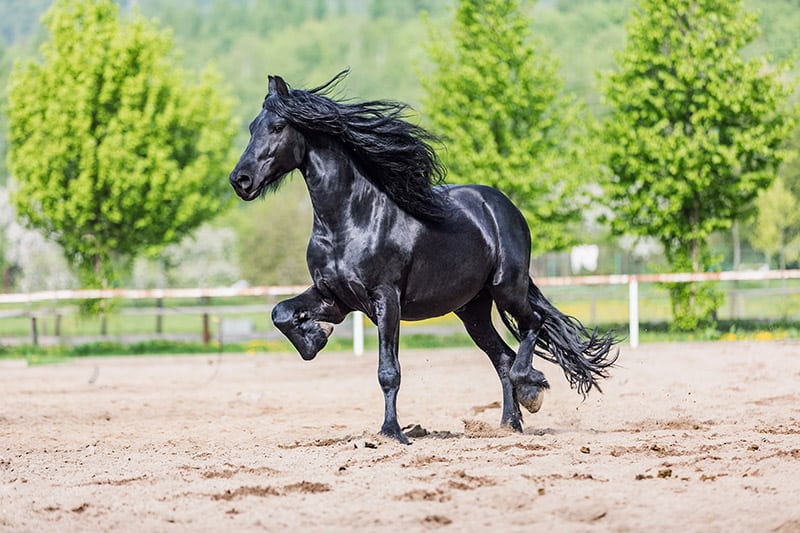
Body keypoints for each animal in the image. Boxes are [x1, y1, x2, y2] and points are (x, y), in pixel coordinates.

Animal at [231, 71, 620, 444]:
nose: (240, 180)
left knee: (533, 325)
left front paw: (392, 433)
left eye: (277, 127)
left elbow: (388, 371)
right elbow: (280, 312)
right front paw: (315, 337)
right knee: (503, 358)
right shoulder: (334, 297)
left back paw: (531, 390)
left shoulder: (385, 298)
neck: (351, 218)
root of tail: (500, 205)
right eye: (251, 127)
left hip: (507, 288)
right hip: (472, 309)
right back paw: (509, 424)